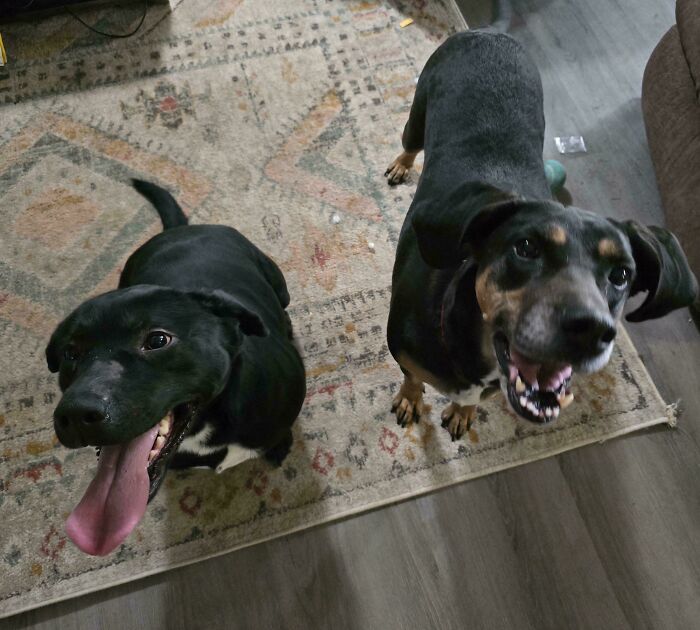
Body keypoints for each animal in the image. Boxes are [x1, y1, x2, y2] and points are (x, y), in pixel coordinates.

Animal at [46, 180, 304, 556]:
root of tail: (180, 228)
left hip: (277, 281)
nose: (76, 414)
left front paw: (281, 448)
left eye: (157, 340)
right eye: (70, 353)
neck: (209, 425)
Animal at [386, 32, 696, 442]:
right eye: (526, 247)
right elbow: (412, 379)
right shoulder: (403, 353)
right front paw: (409, 400)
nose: (590, 331)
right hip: (419, 112)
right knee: (410, 142)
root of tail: (487, 34)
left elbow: (471, 400)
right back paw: (401, 165)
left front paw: (462, 413)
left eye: (622, 275)